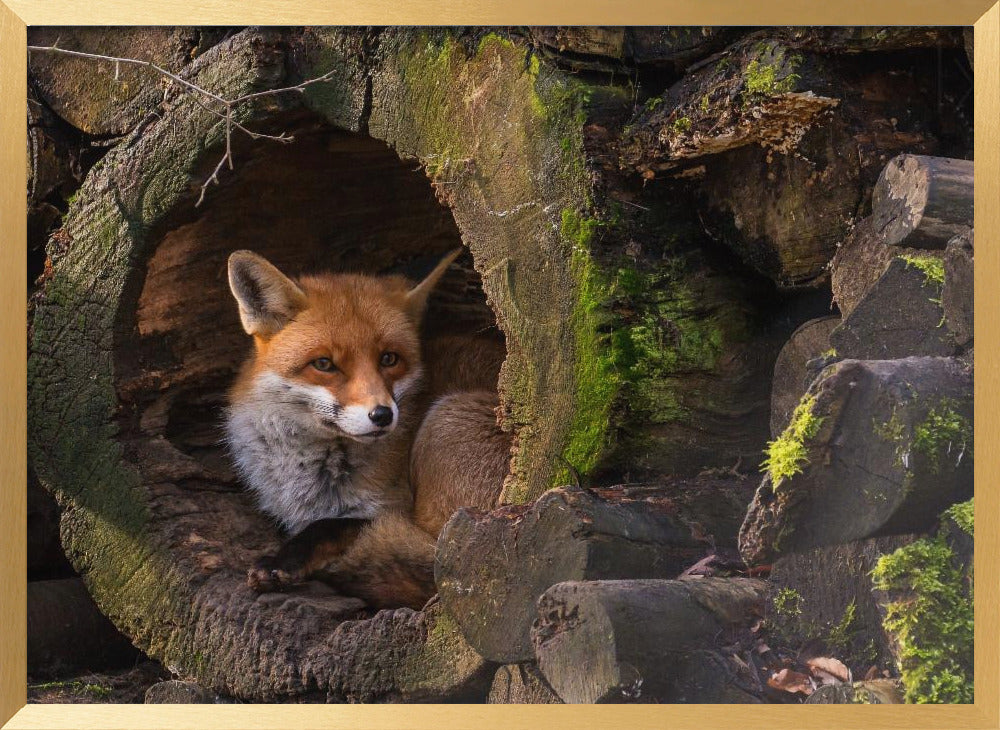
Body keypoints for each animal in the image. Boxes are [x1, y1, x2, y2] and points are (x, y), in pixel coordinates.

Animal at [224, 248, 511, 609]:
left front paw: (283, 560)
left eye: (389, 358)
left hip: (445, 431)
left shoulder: (391, 509)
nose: (382, 415)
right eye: (324, 364)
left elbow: (330, 526)